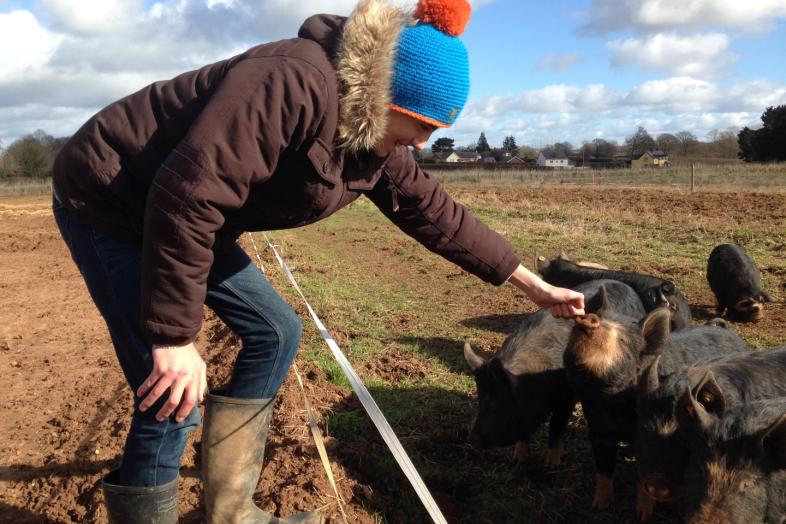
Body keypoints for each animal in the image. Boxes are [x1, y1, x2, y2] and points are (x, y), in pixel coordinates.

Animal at [466, 278, 644, 466]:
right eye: (480, 399)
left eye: (497, 403)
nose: (471, 440)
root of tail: (624, 284)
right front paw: (518, 460)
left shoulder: (567, 397)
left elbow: (556, 425)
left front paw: (552, 463)